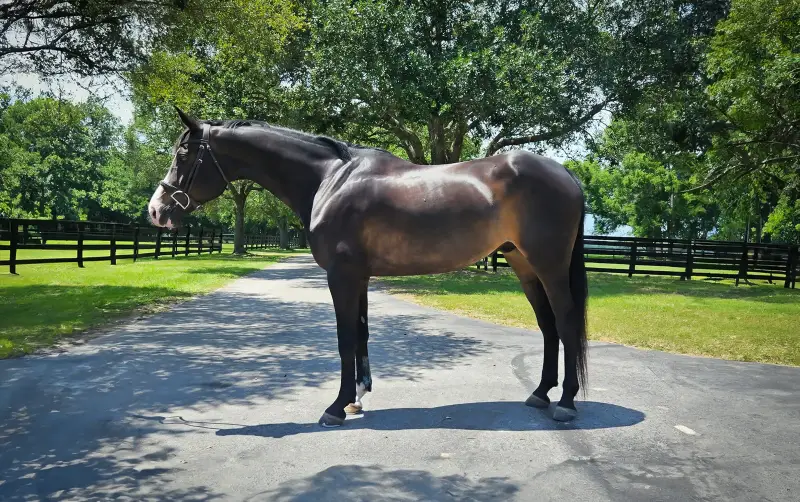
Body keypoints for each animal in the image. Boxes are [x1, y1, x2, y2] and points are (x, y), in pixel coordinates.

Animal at [148, 107, 589, 427]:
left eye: (183, 155)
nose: (156, 210)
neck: (330, 179)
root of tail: (566, 173)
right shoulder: (357, 277)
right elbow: (360, 335)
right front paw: (356, 399)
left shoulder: (341, 276)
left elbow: (345, 340)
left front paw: (335, 407)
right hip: (523, 264)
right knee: (548, 325)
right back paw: (540, 393)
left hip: (549, 266)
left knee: (566, 322)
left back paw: (566, 402)